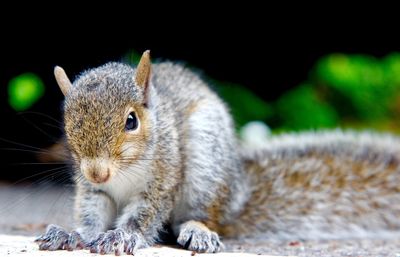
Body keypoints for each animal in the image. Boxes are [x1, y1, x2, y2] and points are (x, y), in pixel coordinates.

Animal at [35, 50, 400, 254]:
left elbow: (144, 215)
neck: (124, 172)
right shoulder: (94, 190)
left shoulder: (162, 180)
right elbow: (91, 215)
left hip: (205, 170)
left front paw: (121, 237)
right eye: (67, 121)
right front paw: (73, 234)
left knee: (202, 216)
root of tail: (236, 194)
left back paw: (199, 231)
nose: (98, 171)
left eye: (131, 120)